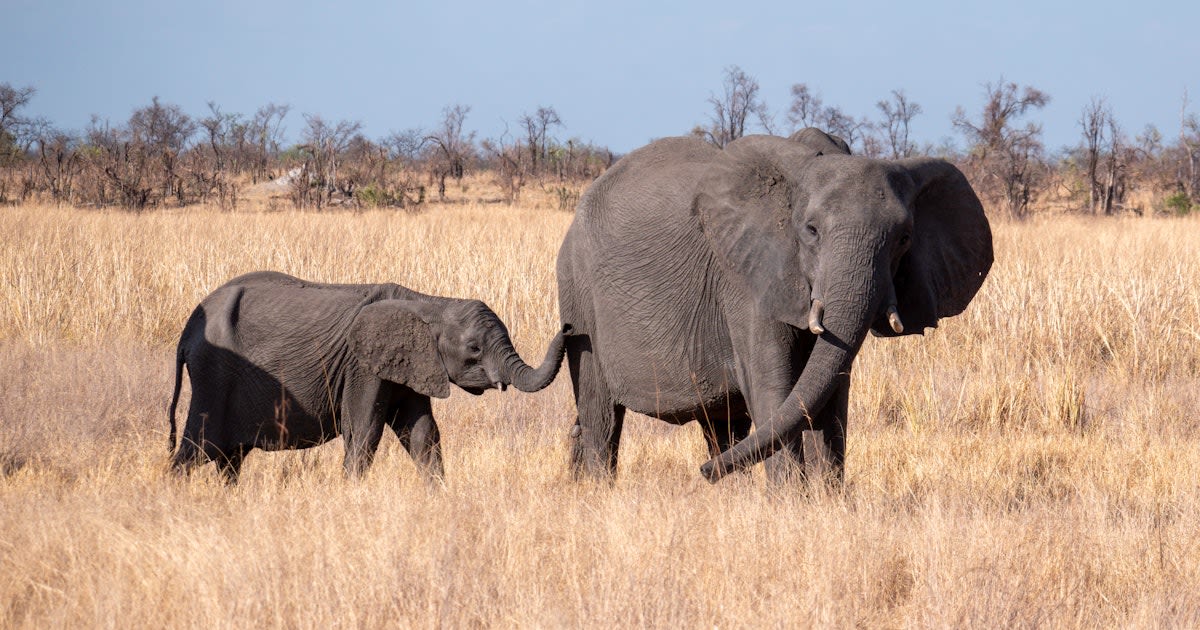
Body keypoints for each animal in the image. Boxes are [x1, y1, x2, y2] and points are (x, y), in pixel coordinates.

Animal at [165, 268, 571, 482]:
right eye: (474, 349)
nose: (569, 327)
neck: (427, 303)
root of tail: (187, 331)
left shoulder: (410, 365)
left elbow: (423, 433)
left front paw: (439, 496)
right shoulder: (362, 365)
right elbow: (363, 430)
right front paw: (350, 493)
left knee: (228, 458)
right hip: (213, 374)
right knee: (196, 448)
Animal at [556, 127, 988, 482]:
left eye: (904, 238)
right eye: (811, 231)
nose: (705, 473)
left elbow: (829, 391)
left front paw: (827, 501)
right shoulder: (746, 278)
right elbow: (774, 386)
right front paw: (791, 503)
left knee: (721, 426)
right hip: (577, 289)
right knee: (600, 414)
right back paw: (601, 489)